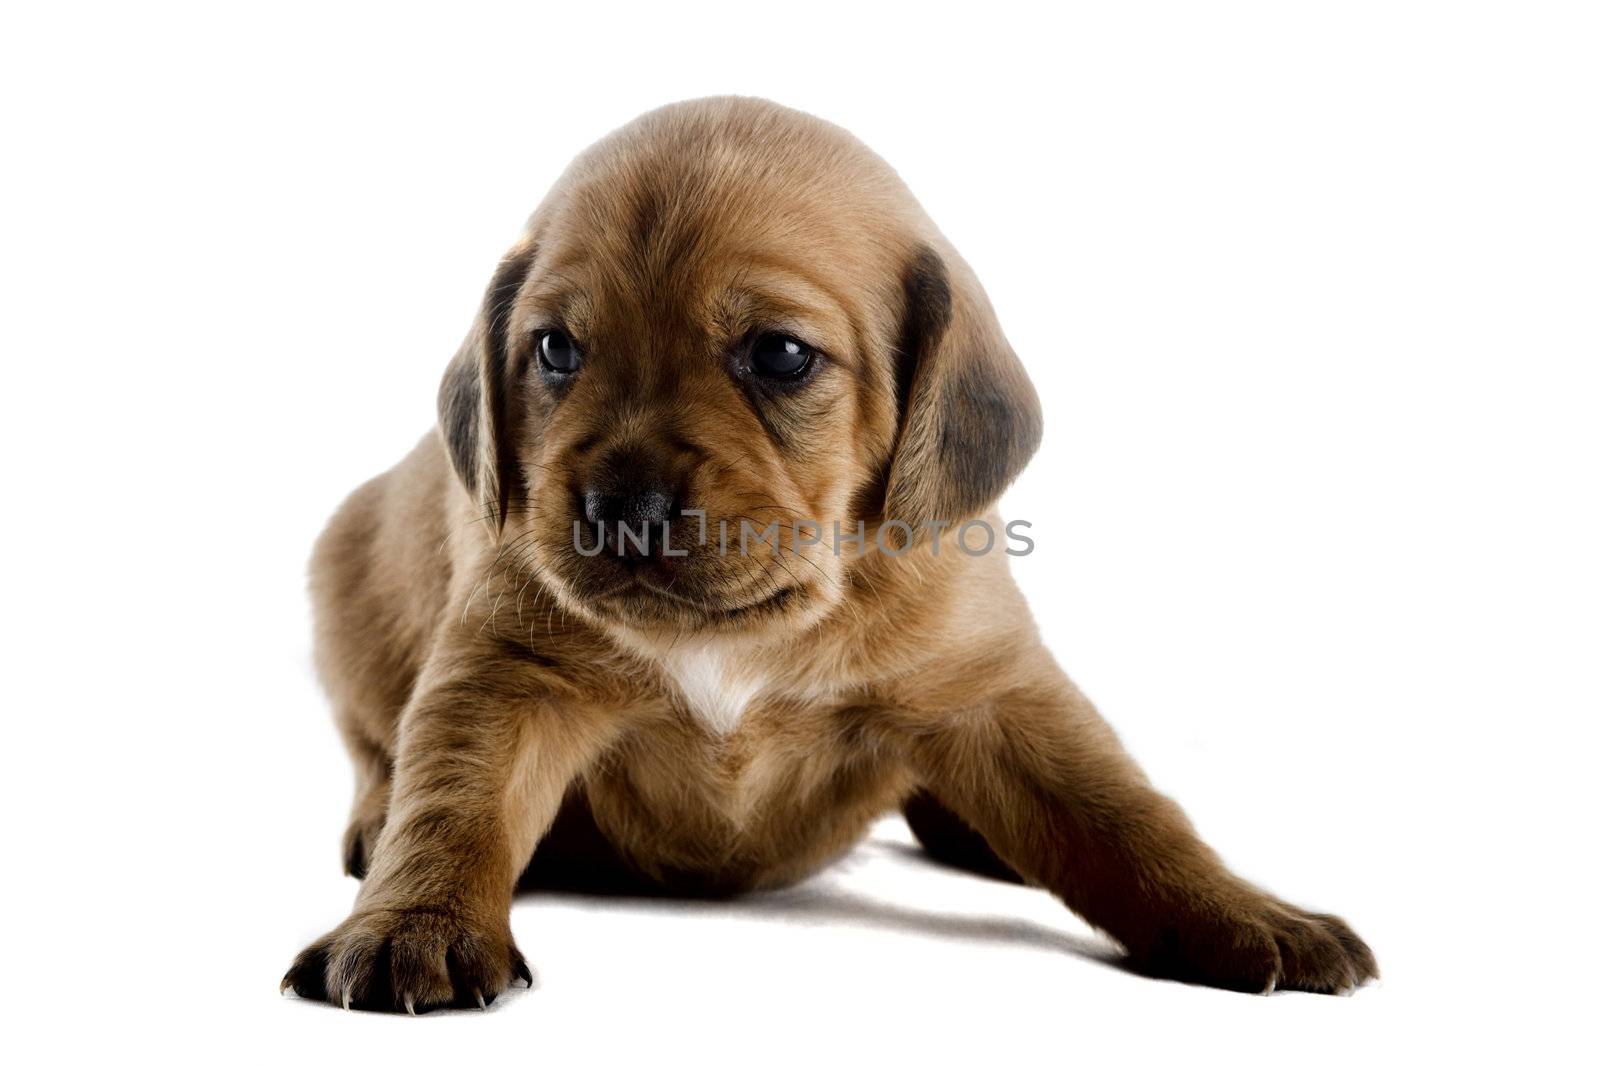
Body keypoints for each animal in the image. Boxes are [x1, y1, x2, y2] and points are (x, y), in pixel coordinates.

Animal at [284, 95, 1376, 1011]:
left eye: (779, 355)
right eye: (555, 350)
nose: (619, 506)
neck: (743, 630)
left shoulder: (993, 689)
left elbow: (1124, 816)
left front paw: (1245, 910)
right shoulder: (506, 671)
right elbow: (453, 802)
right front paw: (415, 920)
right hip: (346, 584)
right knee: (379, 754)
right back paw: (374, 824)